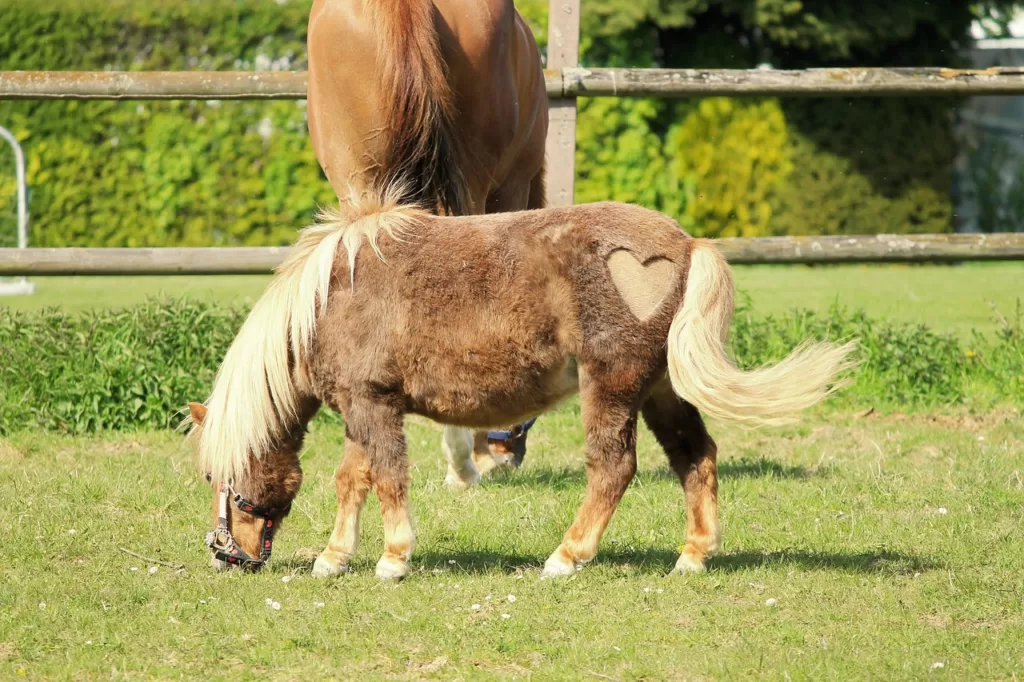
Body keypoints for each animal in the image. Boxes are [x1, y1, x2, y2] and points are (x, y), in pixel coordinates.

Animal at [186, 192, 856, 577]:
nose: (227, 555)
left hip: (612, 385)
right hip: (662, 391)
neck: (327, 300)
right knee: (696, 457)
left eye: (221, 475)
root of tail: (687, 245)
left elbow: (387, 478)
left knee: (613, 467)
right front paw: (333, 558)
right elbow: (353, 479)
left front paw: (394, 558)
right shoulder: (362, 407)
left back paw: (567, 557)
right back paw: (692, 557)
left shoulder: (372, 407)